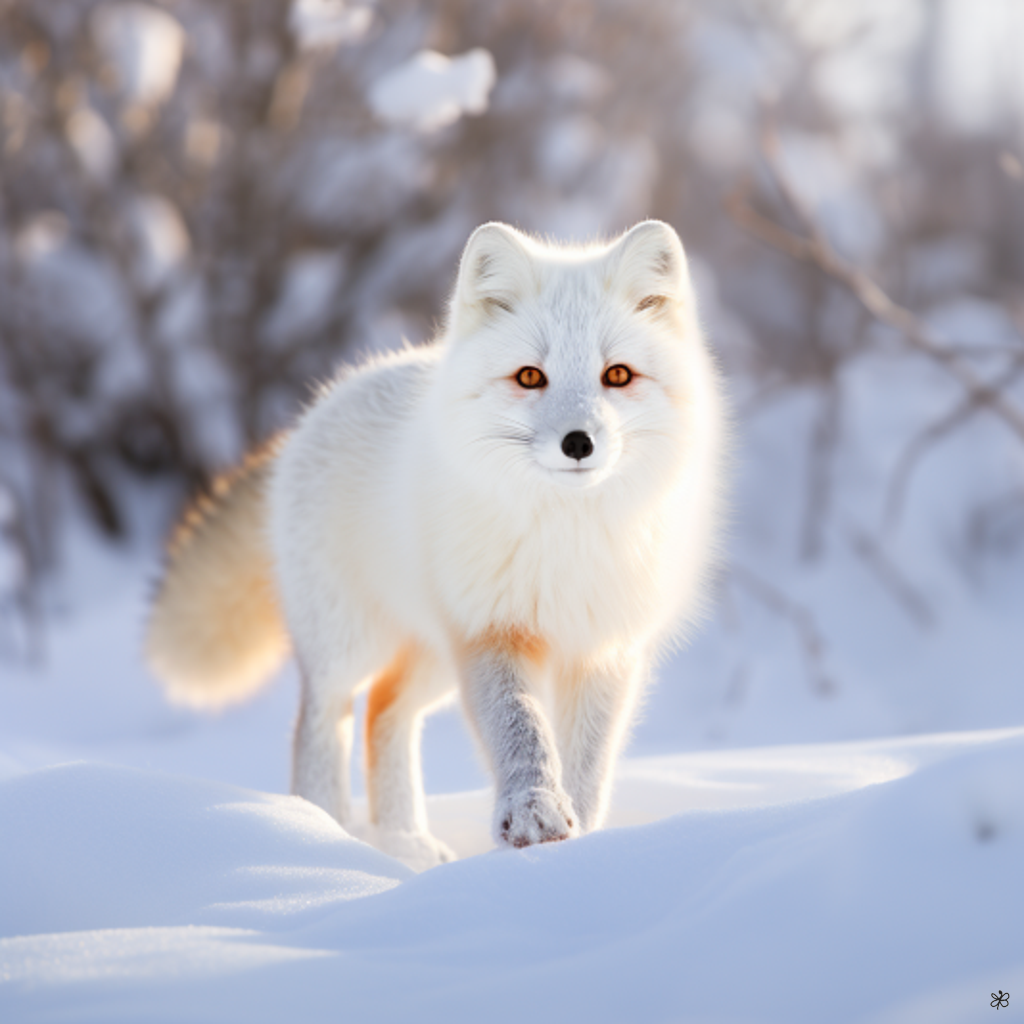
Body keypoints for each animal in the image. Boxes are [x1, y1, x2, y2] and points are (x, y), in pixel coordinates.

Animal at [146, 220, 727, 870]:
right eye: (531, 376)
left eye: (618, 375)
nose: (578, 443)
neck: (565, 537)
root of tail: (312, 413)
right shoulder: (493, 630)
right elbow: (521, 730)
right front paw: (534, 817)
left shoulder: (602, 648)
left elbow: (588, 766)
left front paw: (576, 844)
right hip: (354, 645)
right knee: (323, 720)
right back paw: (325, 835)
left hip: (432, 658)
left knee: (384, 712)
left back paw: (404, 843)